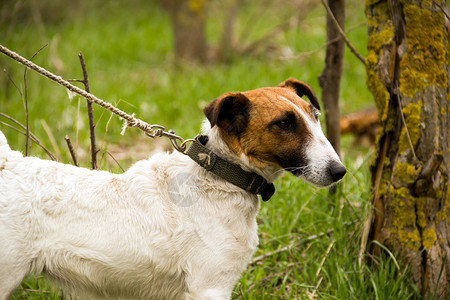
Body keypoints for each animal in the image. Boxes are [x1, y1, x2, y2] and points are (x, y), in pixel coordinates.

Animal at [0, 79, 346, 300]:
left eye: (314, 116)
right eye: (284, 123)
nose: (339, 172)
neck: (220, 175)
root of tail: (7, 164)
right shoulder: (210, 287)